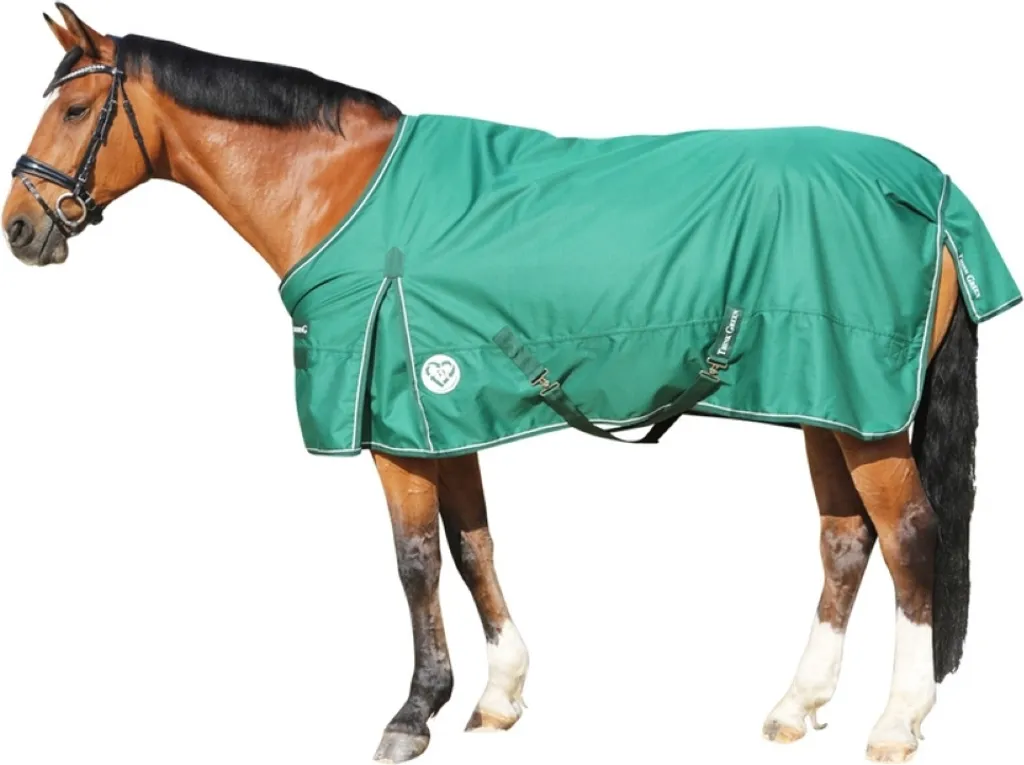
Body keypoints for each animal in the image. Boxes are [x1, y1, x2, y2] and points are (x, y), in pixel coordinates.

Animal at [4, 6, 1020, 763]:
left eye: (71, 110)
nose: (20, 226)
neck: (340, 191)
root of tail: (932, 192)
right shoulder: (437, 410)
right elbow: (473, 546)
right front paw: (497, 694)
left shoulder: (395, 425)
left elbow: (415, 559)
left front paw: (413, 712)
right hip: (828, 402)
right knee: (846, 540)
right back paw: (796, 704)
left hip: (864, 414)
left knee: (911, 535)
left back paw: (897, 719)